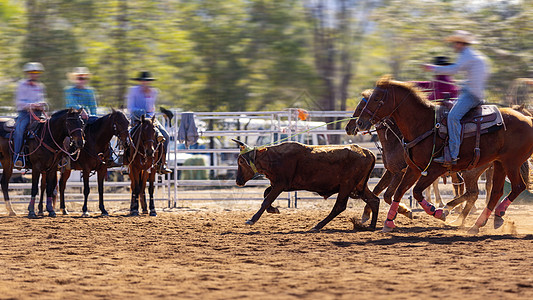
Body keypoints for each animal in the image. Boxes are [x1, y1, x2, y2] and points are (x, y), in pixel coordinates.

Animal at [354, 76, 532, 233]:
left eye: (376, 98)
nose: (358, 123)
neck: (423, 124)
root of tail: (528, 120)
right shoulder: (413, 169)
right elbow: (398, 192)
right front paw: (389, 222)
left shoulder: (432, 170)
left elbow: (415, 192)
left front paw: (437, 212)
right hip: (498, 164)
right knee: (493, 192)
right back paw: (478, 223)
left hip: (509, 163)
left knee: (516, 187)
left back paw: (483, 215)